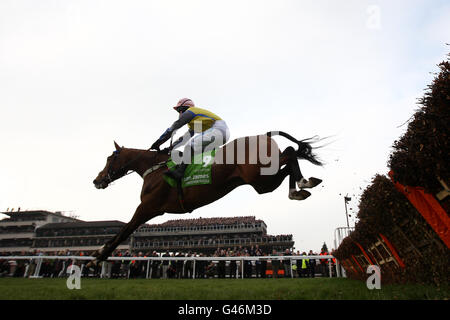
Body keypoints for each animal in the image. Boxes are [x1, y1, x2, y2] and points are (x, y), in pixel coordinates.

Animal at [88, 130, 320, 264]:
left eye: (109, 159)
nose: (97, 180)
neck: (155, 169)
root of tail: (266, 135)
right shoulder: (151, 210)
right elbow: (125, 230)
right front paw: (99, 254)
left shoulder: (147, 207)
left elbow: (124, 231)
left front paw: (98, 255)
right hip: (263, 182)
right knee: (289, 156)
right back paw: (301, 187)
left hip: (262, 177)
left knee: (290, 153)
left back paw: (303, 183)